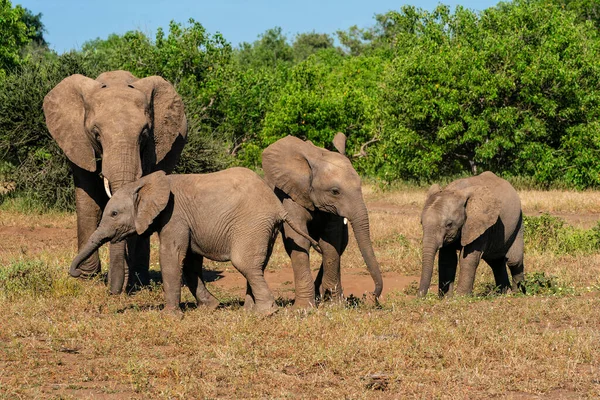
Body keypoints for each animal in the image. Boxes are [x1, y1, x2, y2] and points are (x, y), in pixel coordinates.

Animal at [43, 69, 188, 294]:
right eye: (96, 134)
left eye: (144, 134)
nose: (114, 291)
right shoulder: (77, 142)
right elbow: (88, 197)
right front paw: (85, 278)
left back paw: (140, 279)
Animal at [68, 167, 322, 314]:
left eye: (113, 214)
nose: (74, 273)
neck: (146, 183)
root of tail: (279, 208)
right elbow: (190, 261)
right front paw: (211, 307)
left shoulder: (174, 216)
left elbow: (172, 256)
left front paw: (170, 316)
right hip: (263, 229)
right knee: (256, 266)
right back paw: (250, 311)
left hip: (252, 224)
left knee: (245, 264)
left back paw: (265, 312)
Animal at [260, 133, 382, 308]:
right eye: (335, 191)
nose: (372, 295)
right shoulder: (290, 193)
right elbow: (299, 240)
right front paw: (303, 308)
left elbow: (331, 242)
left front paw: (335, 305)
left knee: (342, 244)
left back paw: (322, 296)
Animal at [418, 170, 524, 298]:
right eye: (421, 223)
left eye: (449, 224)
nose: (419, 297)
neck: (456, 191)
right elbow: (447, 259)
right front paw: (446, 298)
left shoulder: (480, 225)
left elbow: (467, 258)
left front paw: (460, 297)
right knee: (496, 262)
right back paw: (504, 293)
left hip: (518, 223)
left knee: (514, 260)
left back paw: (518, 293)